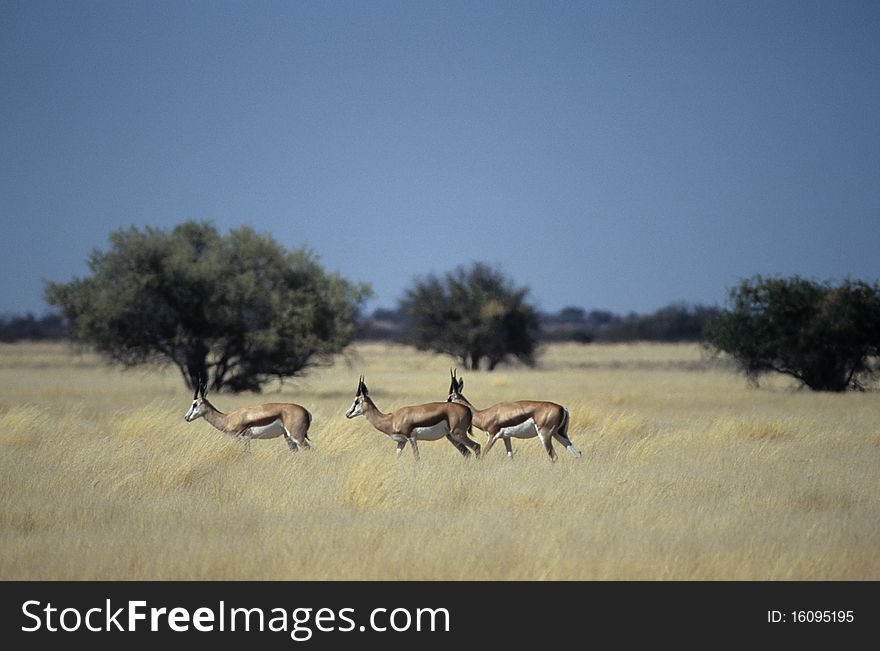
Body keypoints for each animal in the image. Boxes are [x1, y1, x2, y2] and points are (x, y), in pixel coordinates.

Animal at [182, 382, 312, 454]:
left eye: (195, 404)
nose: (186, 417)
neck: (228, 418)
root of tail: (306, 412)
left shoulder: (244, 438)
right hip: (288, 438)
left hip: (297, 437)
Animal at [344, 374, 482, 460]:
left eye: (357, 401)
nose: (347, 414)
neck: (391, 419)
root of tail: (467, 409)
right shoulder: (401, 442)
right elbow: (397, 458)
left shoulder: (411, 438)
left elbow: (417, 458)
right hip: (452, 437)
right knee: (467, 453)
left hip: (458, 434)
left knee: (476, 447)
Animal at [444, 370, 580, 460]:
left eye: (450, 398)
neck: (483, 415)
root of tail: (562, 408)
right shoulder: (506, 437)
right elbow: (510, 457)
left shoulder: (492, 436)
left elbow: (483, 454)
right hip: (559, 434)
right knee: (577, 453)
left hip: (545, 435)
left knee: (554, 456)